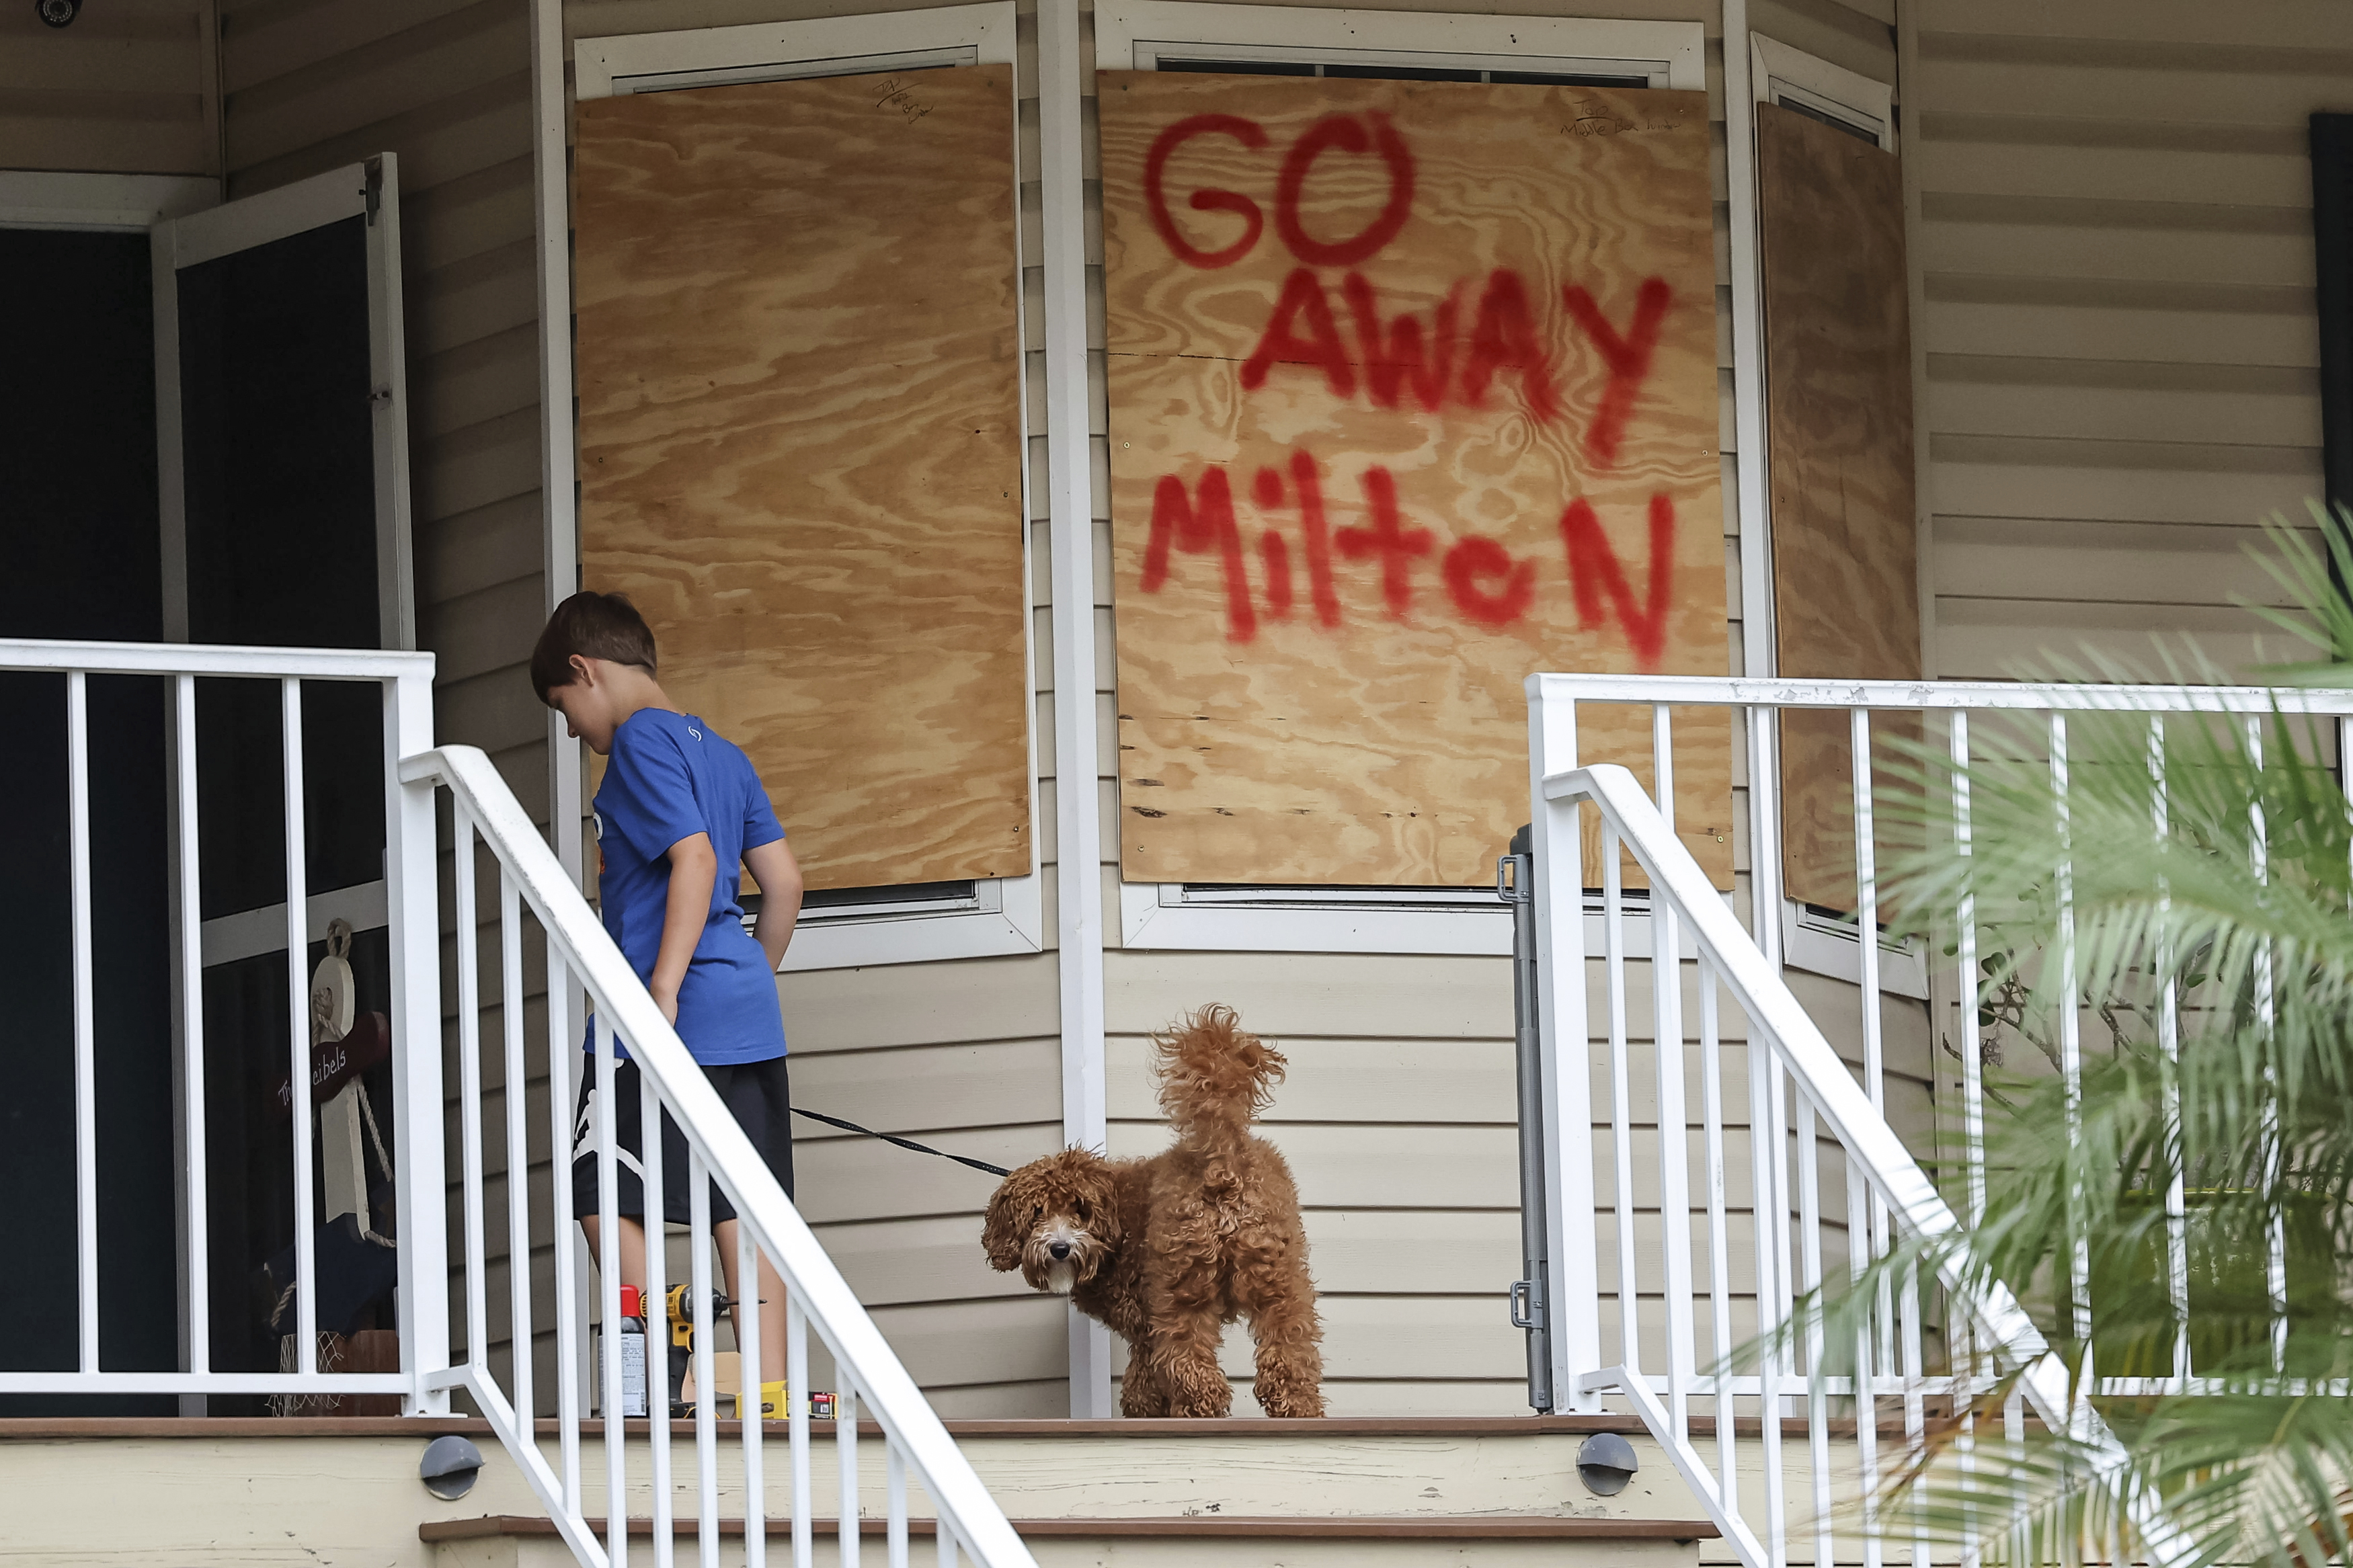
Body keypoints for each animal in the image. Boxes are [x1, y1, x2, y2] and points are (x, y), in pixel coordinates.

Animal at [974, 1006, 1327, 1419]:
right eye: (1036, 1214)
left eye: (1081, 1210)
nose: (1060, 1249)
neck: (1115, 1229)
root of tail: (1222, 1159)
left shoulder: (1144, 1323)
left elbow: (1143, 1382)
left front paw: (1144, 1409)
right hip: (1275, 1273)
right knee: (1290, 1342)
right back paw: (1298, 1406)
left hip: (1181, 1284)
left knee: (1189, 1358)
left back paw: (1198, 1409)